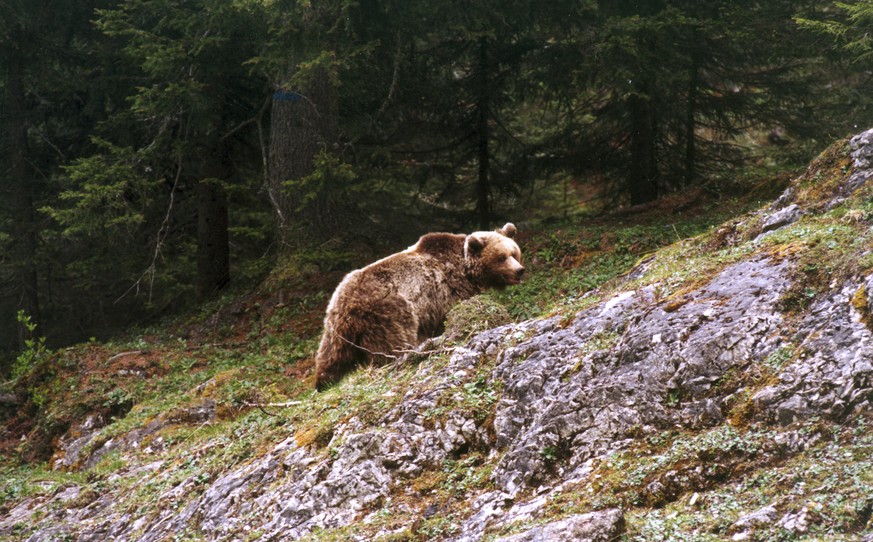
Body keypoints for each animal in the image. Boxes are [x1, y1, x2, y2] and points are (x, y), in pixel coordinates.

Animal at [314, 223, 524, 390]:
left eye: (514, 253)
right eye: (501, 257)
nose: (519, 271)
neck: (466, 269)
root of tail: (347, 301)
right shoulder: (447, 292)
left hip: (336, 328)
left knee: (332, 354)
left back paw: (324, 381)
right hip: (389, 312)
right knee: (393, 344)